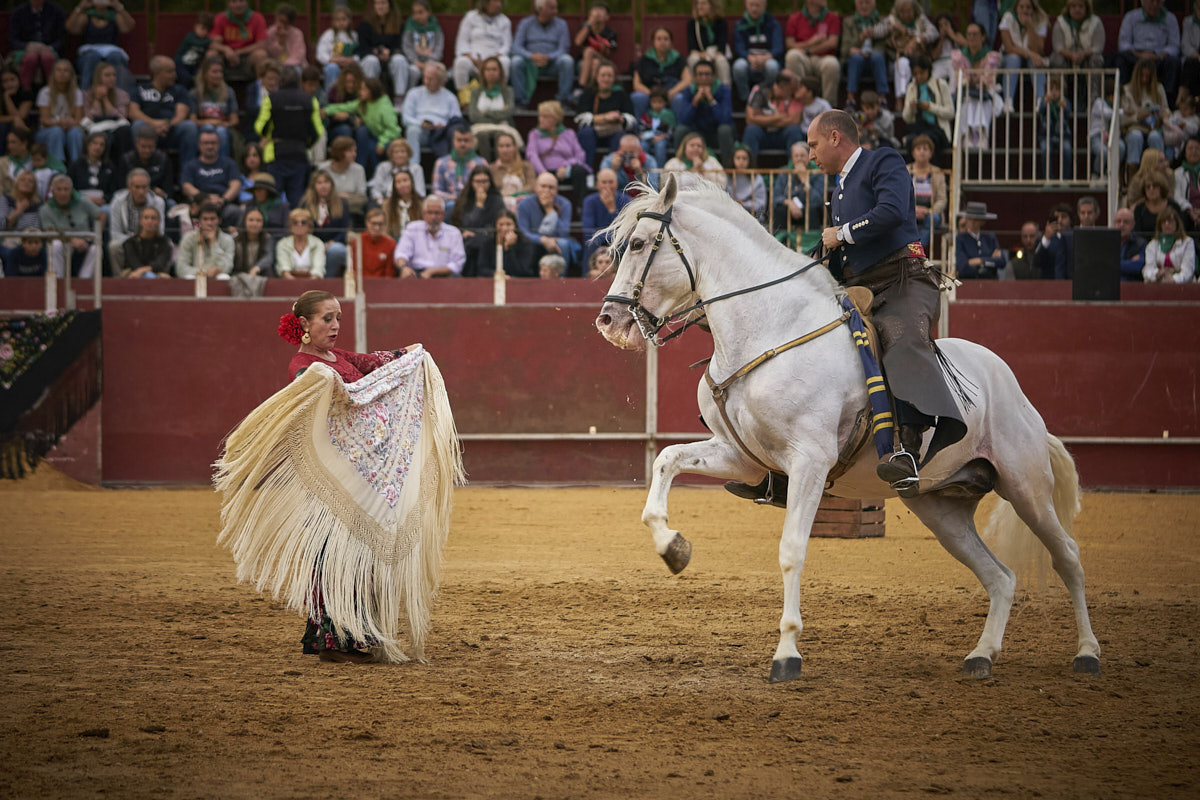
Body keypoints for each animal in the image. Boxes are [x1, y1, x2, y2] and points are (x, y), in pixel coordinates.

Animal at [593, 174, 1101, 684]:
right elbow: (665, 460)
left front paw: (787, 654)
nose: (608, 321)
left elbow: (792, 549)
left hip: (1025, 485)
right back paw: (982, 655)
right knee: (1000, 576)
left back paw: (1087, 653)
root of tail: (1010, 386)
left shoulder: (810, 461)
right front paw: (673, 547)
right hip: (941, 508)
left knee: (1069, 557)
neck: (769, 328)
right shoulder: (740, 456)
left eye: (639, 243)